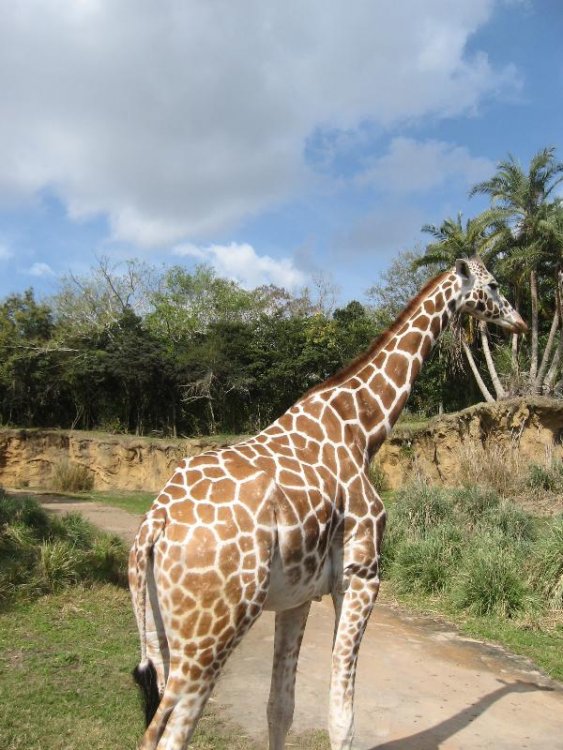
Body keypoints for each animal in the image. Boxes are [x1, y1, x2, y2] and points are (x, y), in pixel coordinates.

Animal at [129, 257, 527, 750]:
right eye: (493, 285)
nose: (520, 322)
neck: (362, 428)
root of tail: (154, 525)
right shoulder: (361, 575)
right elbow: (343, 718)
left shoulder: (297, 596)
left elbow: (280, 708)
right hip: (211, 633)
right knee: (168, 734)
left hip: (160, 633)